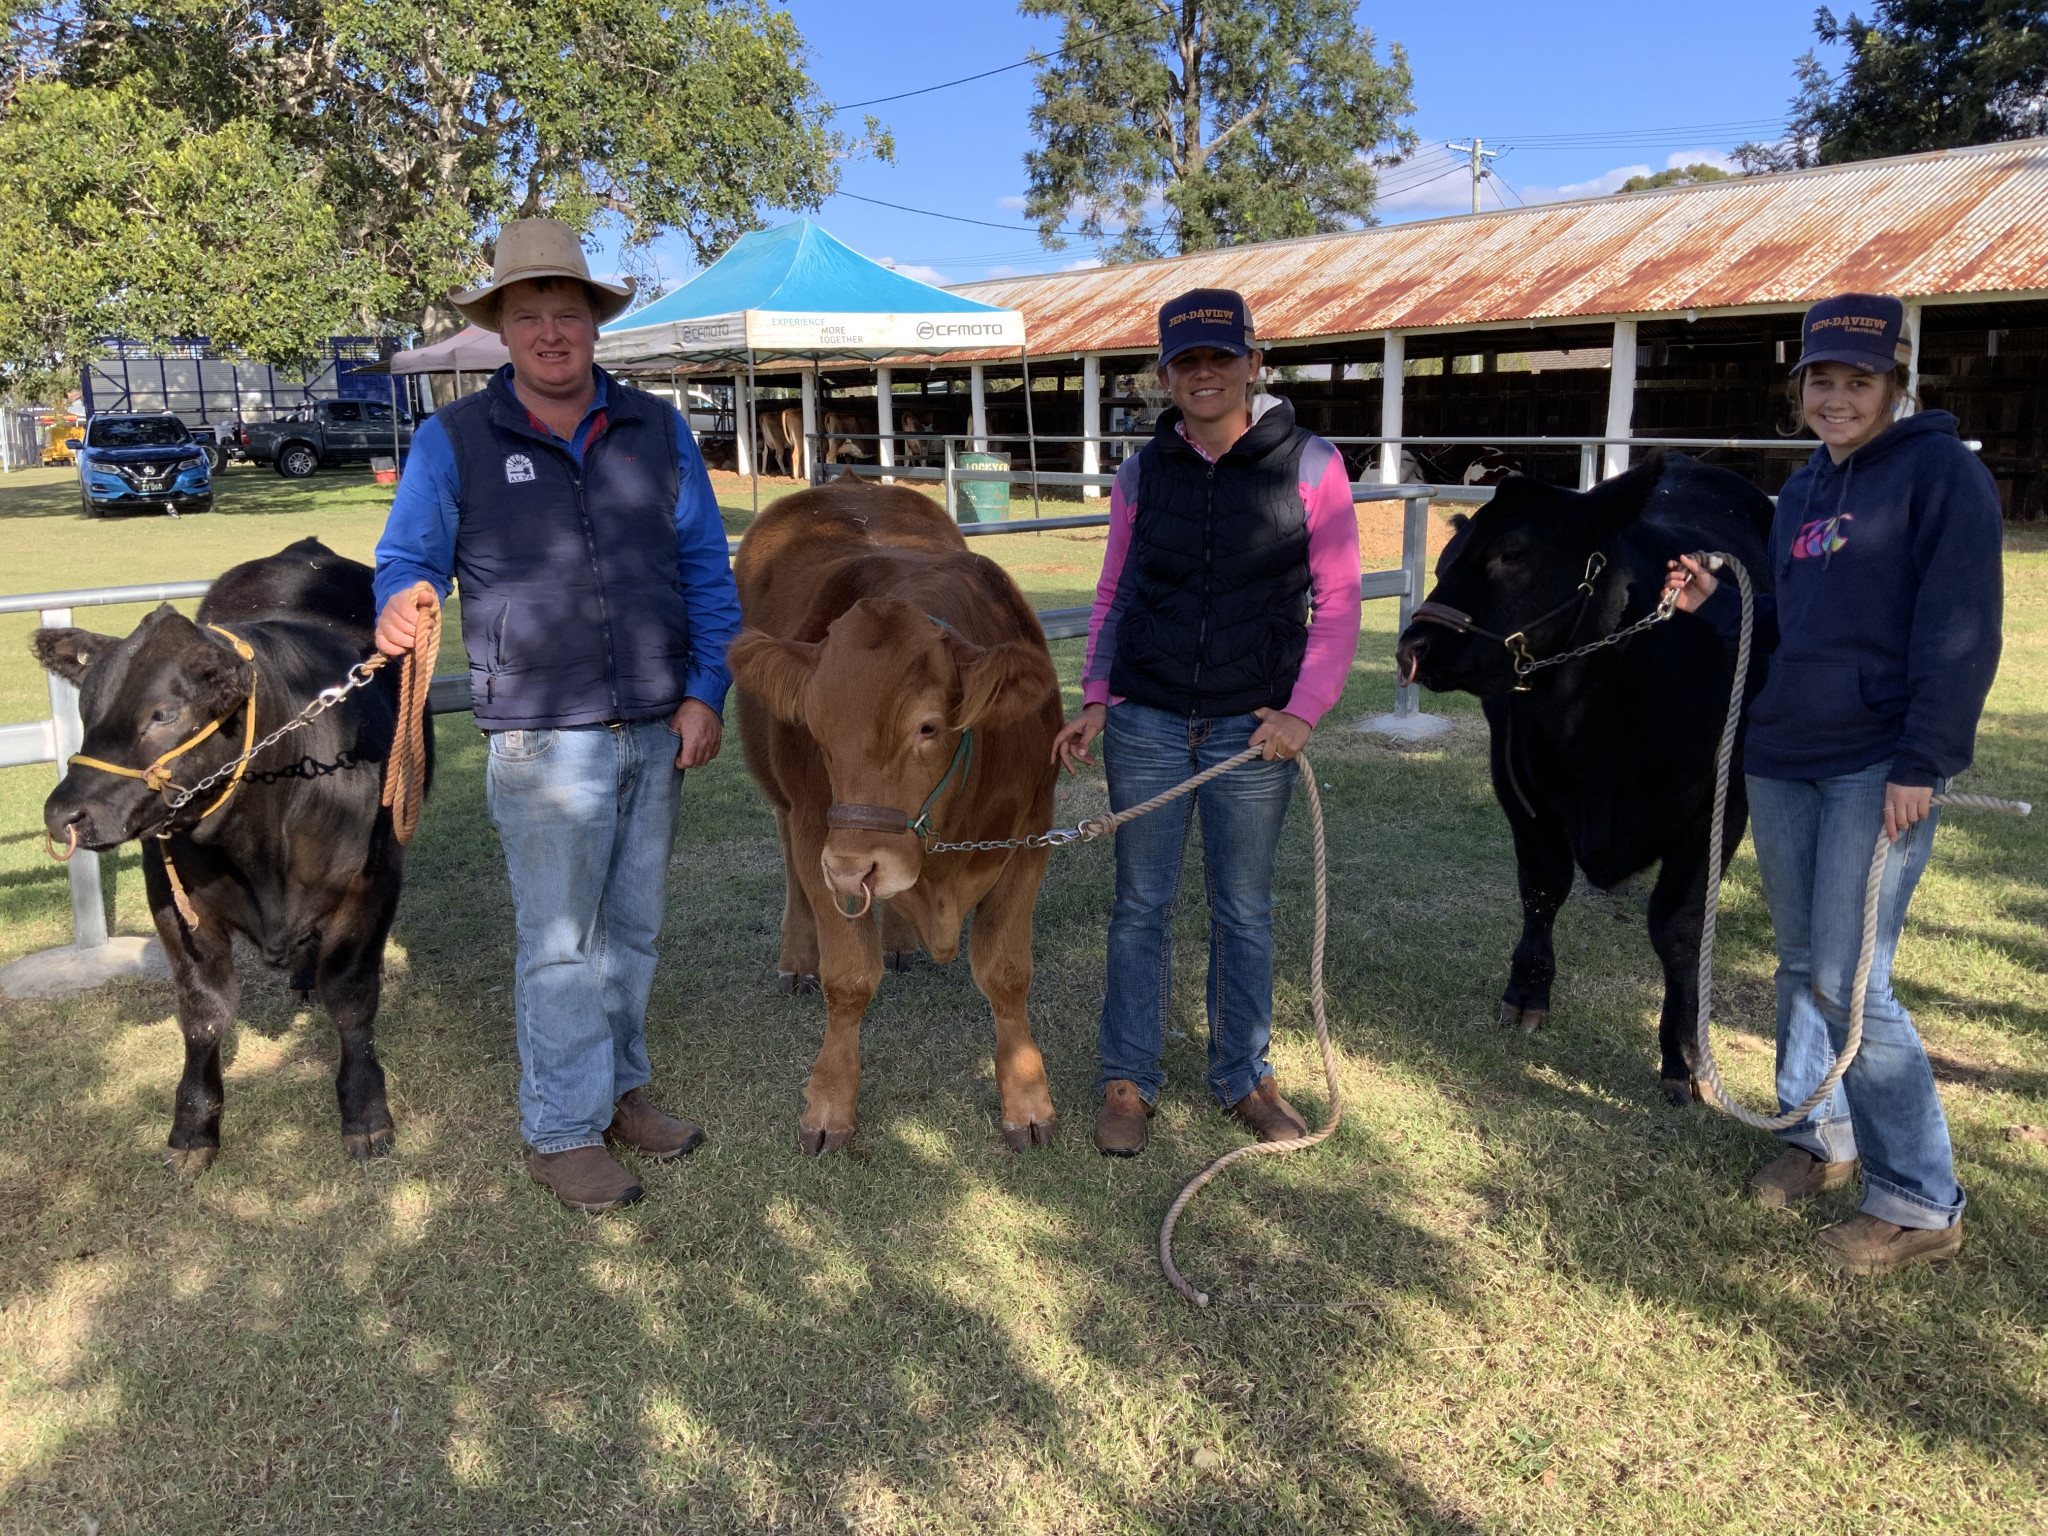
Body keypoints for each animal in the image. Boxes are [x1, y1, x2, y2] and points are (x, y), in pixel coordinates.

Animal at [32, 536, 430, 1171]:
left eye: (164, 714)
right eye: (86, 711)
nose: (62, 815)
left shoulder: (374, 880)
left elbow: (352, 997)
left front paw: (366, 1113)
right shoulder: (173, 899)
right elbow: (203, 1011)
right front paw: (193, 1128)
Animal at [729, 481, 1064, 1155]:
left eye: (928, 728)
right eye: (815, 727)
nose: (854, 865)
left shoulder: (1033, 831)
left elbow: (1007, 971)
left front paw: (1027, 1100)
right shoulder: (818, 831)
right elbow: (849, 978)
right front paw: (829, 1105)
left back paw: (902, 941)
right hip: (786, 804)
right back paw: (797, 957)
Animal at [1392, 456, 1777, 1105]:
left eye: (1513, 552)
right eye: (1443, 563)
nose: (1412, 648)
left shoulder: (1719, 806)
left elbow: (1680, 927)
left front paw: (1685, 1057)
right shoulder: (1519, 787)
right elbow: (1542, 889)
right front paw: (1526, 994)